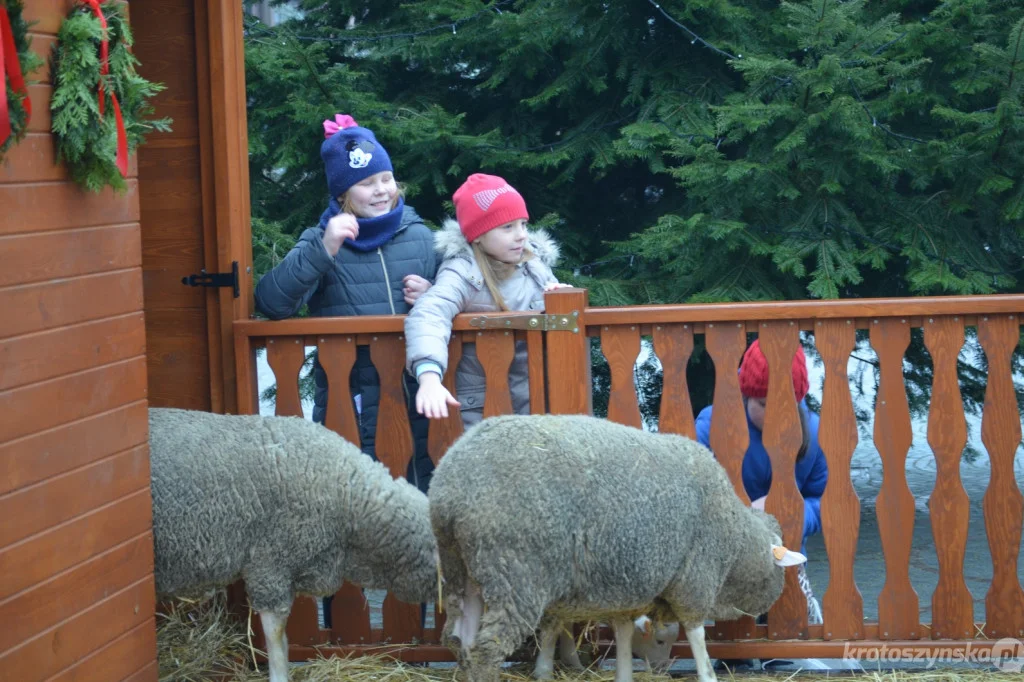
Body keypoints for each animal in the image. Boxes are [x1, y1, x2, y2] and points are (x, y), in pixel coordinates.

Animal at [428, 411, 802, 679]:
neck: (735, 541)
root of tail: (449, 491)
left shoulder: (626, 589)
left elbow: (619, 636)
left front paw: (620, 672)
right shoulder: (695, 579)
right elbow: (698, 640)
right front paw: (707, 673)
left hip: (462, 569)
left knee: (458, 639)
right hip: (514, 572)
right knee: (487, 649)